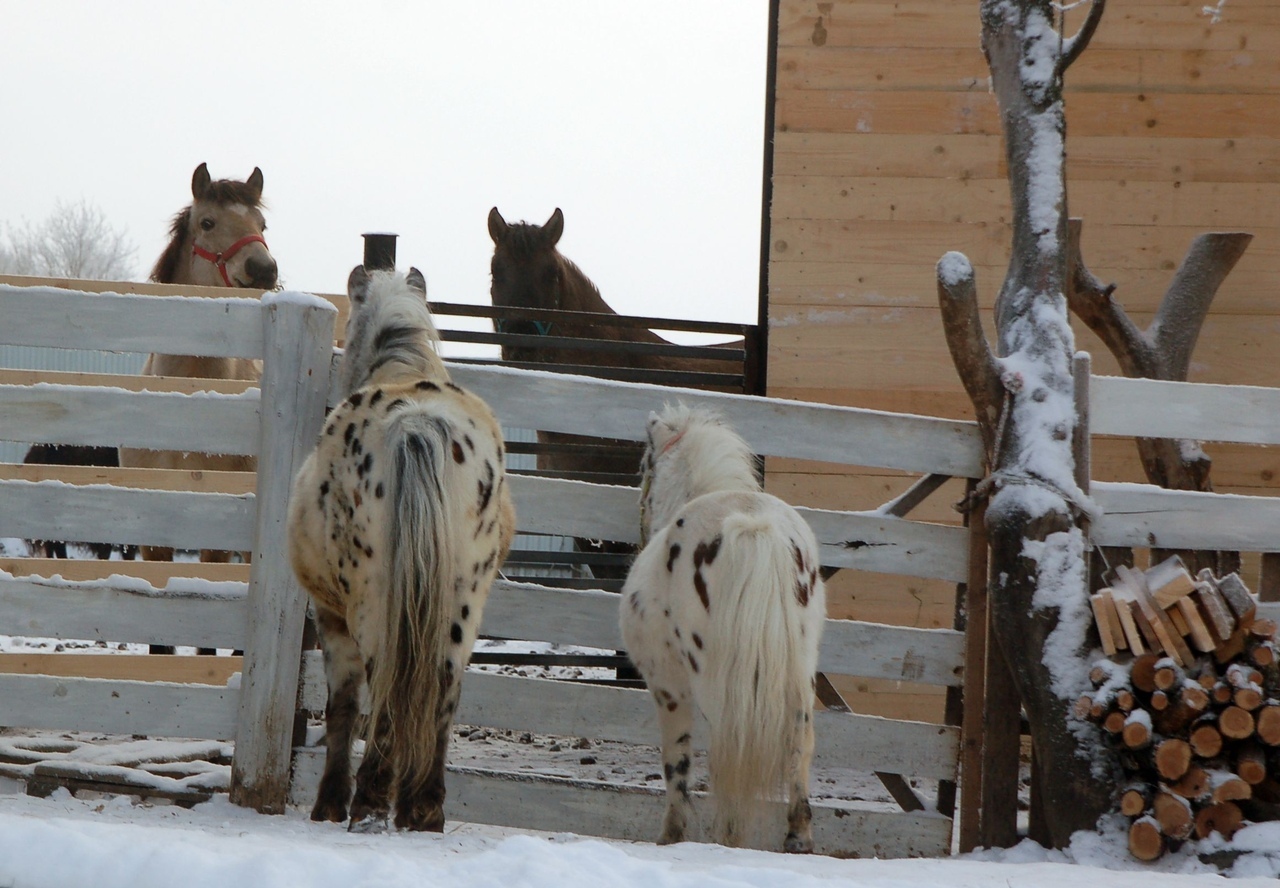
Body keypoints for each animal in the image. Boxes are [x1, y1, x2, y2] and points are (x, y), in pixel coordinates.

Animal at [288, 266, 512, 834]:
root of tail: (417, 423)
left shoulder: (330, 614)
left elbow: (343, 708)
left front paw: (329, 802)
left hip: (374, 604)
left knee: (386, 691)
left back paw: (368, 803)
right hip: (462, 602)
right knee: (444, 693)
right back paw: (423, 808)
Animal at [622, 404, 829, 854]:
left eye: (644, 466)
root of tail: (751, 526)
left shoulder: (668, 690)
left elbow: (677, 762)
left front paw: (672, 835)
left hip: (714, 679)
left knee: (730, 745)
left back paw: (729, 837)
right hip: (800, 668)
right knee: (799, 740)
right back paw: (797, 838)